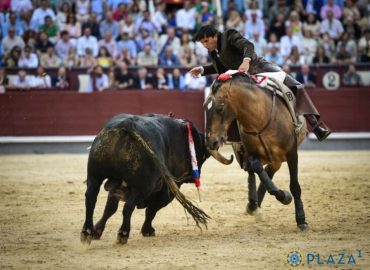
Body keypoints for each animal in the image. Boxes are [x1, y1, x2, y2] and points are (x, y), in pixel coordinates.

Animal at [80, 113, 211, 244]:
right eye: (202, 156)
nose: (193, 177)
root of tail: (128, 125)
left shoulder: (117, 184)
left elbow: (110, 207)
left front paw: (96, 231)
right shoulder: (168, 190)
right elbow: (152, 209)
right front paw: (147, 230)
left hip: (94, 175)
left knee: (91, 198)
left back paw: (86, 232)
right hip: (143, 186)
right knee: (129, 206)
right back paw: (123, 234)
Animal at [205, 71, 310, 230]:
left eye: (220, 107)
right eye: (206, 107)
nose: (212, 142)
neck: (259, 119)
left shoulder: (292, 153)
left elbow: (295, 186)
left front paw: (301, 220)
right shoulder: (251, 153)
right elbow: (257, 169)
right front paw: (284, 196)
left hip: (278, 158)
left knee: (268, 172)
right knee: (255, 172)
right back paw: (253, 205)